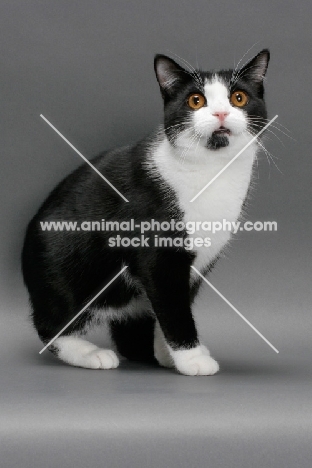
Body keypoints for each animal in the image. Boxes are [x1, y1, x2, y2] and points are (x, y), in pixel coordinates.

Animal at [22, 48, 270, 376]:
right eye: (196, 100)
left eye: (239, 98)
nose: (220, 113)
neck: (211, 173)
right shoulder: (159, 256)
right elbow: (174, 308)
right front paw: (191, 358)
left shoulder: (197, 265)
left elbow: (175, 305)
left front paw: (169, 354)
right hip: (67, 266)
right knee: (51, 325)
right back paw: (89, 354)